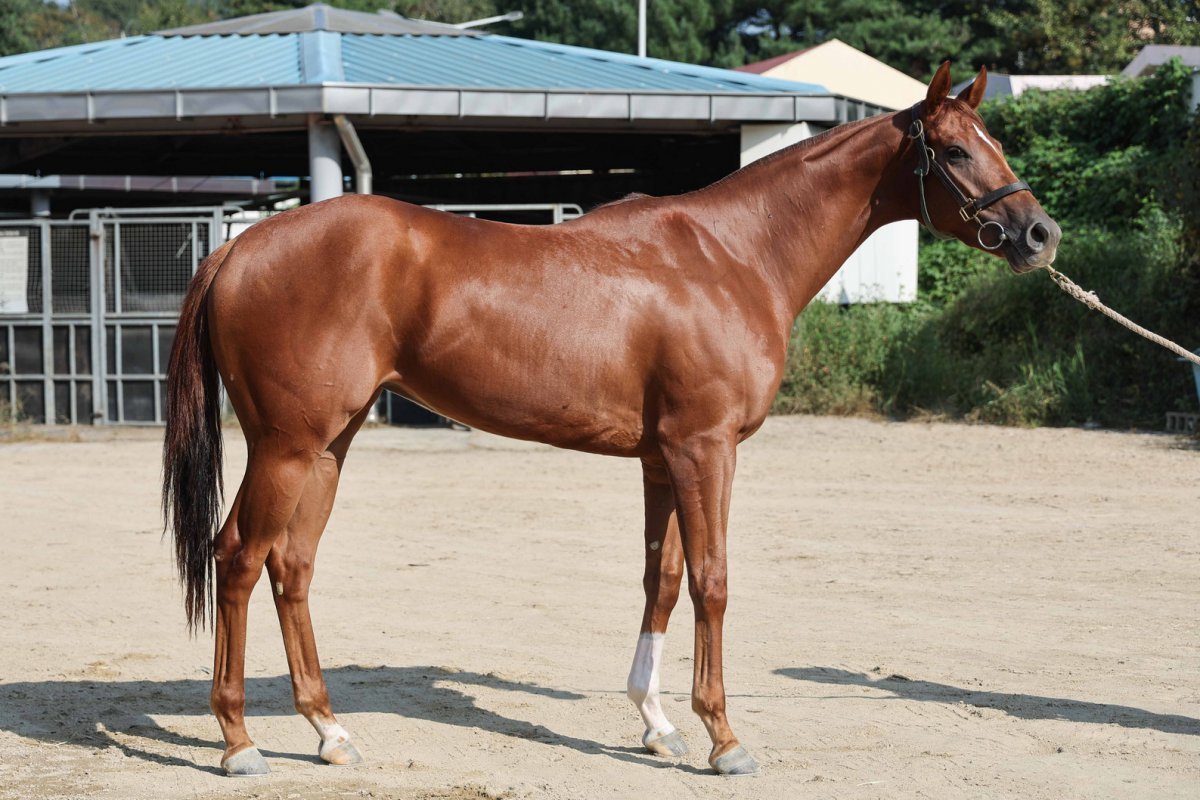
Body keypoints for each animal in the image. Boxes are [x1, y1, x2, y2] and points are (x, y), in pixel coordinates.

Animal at [159, 65, 1060, 777]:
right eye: (953, 151)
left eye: (993, 139)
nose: (1038, 233)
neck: (731, 255)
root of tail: (239, 247)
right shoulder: (705, 450)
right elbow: (713, 582)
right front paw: (724, 738)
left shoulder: (663, 458)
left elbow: (661, 579)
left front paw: (657, 725)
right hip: (287, 447)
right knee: (239, 559)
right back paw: (239, 742)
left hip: (329, 446)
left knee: (293, 567)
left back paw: (329, 732)